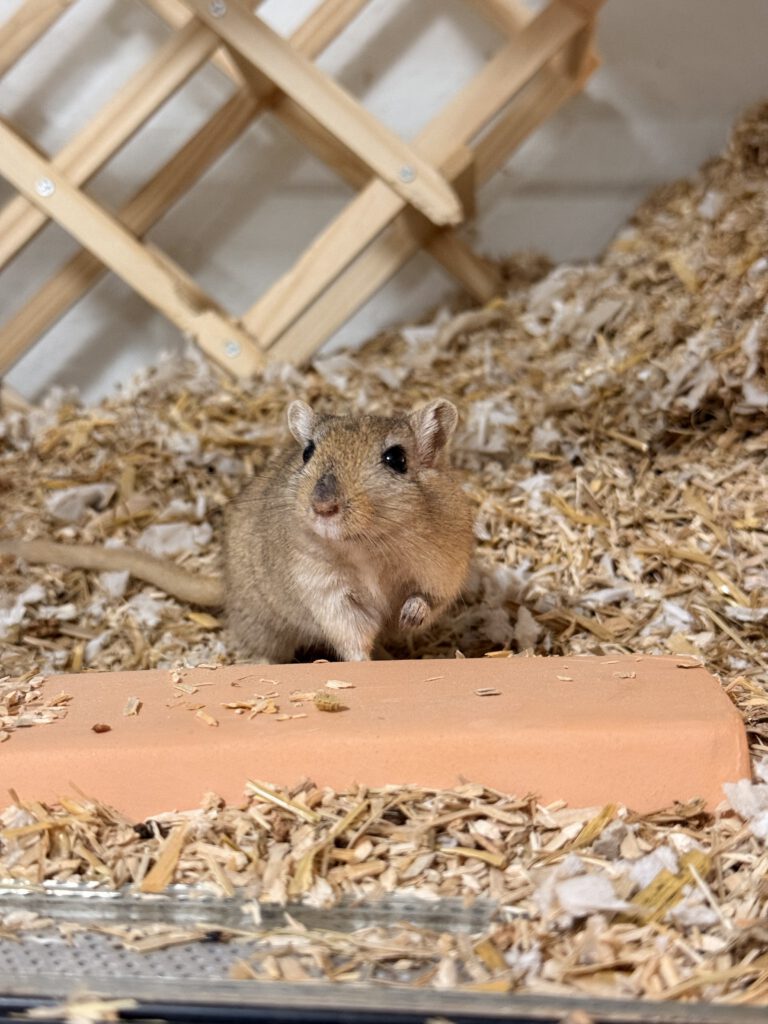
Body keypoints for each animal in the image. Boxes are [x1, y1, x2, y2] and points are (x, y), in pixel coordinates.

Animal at [0, 399, 475, 663]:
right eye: (308, 452)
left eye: (397, 459)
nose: (322, 507)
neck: (364, 547)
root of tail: (226, 586)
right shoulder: (325, 590)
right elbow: (350, 633)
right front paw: (364, 665)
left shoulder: (441, 569)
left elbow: (427, 600)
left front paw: (408, 617)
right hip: (266, 625)